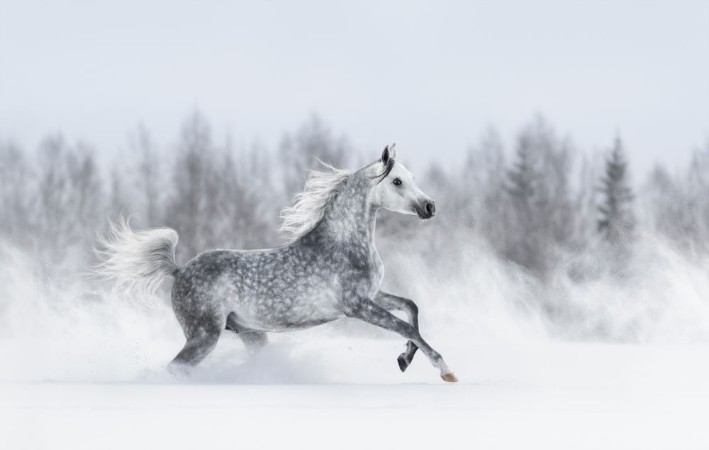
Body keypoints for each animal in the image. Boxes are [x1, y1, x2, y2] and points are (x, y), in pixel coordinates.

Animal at [97, 145, 457, 382]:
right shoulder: (357, 306)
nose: (430, 206)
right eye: (397, 181)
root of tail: (179, 270)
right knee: (176, 368)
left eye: (412, 177)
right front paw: (445, 370)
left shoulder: (373, 295)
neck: (344, 243)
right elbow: (406, 325)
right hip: (204, 335)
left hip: (250, 334)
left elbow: (411, 308)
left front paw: (404, 359)